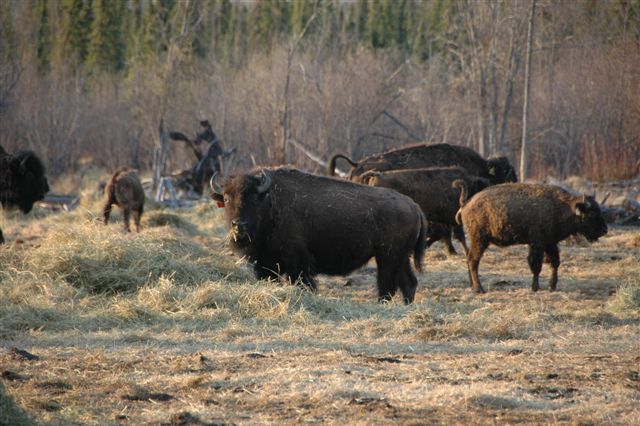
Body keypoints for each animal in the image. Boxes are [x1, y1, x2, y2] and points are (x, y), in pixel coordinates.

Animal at [210, 167, 427, 304]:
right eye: (227, 198)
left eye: (255, 198)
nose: (239, 225)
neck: (270, 203)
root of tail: (414, 206)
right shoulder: (265, 263)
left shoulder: (297, 261)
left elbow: (304, 282)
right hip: (400, 258)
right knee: (408, 283)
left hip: (387, 257)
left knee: (387, 285)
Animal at [454, 182, 608, 293]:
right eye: (592, 213)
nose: (604, 230)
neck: (561, 206)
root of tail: (466, 203)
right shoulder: (537, 244)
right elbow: (536, 266)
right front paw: (535, 288)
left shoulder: (550, 243)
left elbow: (555, 262)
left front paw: (552, 286)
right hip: (479, 240)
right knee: (473, 260)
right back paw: (479, 289)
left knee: (469, 259)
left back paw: (473, 286)